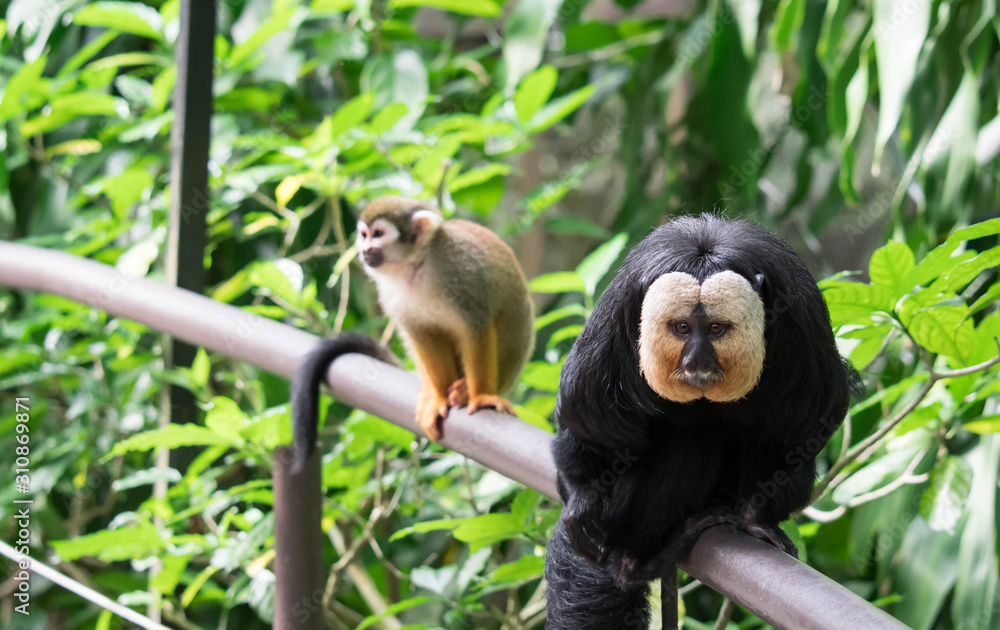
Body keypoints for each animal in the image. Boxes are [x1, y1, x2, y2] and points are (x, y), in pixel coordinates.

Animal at [354, 196, 534, 442]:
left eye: (378, 234)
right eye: (364, 235)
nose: (364, 250)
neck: (414, 267)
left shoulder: (459, 274)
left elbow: (475, 327)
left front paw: (481, 397)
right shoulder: (392, 296)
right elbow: (423, 334)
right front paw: (439, 398)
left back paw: (467, 390)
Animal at [544, 214, 862, 629]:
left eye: (715, 329)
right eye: (681, 328)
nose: (697, 359)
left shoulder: (799, 314)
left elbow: (801, 423)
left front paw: (755, 519)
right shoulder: (619, 314)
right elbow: (589, 416)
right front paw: (582, 500)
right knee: (692, 438)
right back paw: (635, 564)